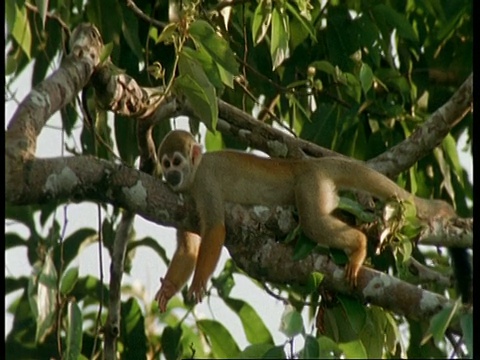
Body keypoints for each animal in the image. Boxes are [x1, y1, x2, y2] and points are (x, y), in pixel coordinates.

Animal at [155, 130, 458, 312]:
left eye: (177, 162)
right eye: (165, 163)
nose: (169, 175)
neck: (193, 177)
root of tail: (312, 164)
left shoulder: (205, 184)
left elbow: (216, 228)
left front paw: (197, 283)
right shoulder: (184, 196)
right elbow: (189, 247)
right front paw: (169, 287)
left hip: (310, 185)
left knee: (313, 222)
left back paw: (359, 246)